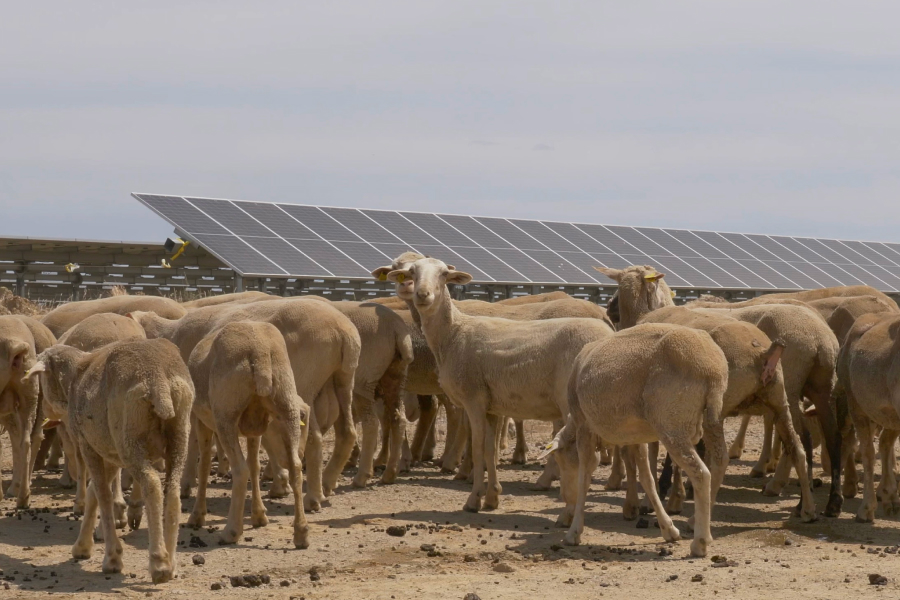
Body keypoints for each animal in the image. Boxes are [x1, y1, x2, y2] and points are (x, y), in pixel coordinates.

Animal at [25, 340, 192, 584]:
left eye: (43, 380)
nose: (45, 410)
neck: (75, 378)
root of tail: (158, 378)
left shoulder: (88, 444)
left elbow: (103, 494)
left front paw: (112, 558)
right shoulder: (110, 452)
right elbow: (94, 490)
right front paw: (82, 546)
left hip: (129, 441)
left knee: (152, 485)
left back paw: (159, 563)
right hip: (178, 435)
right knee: (172, 490)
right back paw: (171, 562)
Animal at [185, 324, 310, 548]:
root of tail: (259, 352)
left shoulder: (201, 421)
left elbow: (204, 465)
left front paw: (197, 516)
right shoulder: (256, 428)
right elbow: (255, 466)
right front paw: (259, 516)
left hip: (225, 416)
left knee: (240, 470)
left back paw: (231, 532)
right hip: (287, 404)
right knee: (295, 466)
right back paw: (301, 533)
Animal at [384, 256, 616, 510]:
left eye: (444, 274)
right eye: (412, 273)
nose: (422, 294)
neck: (453, 332)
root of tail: (608, 331)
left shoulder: (473, 400)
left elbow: (477, 448)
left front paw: (473, 500)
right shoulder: (491, 406)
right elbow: (489, 449)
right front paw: (492, 497)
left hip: (574, 405)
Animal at [540, 324, 732, 556]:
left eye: (560, 461)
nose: (564, 497)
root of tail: (712, 370)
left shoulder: (584, 425)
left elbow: (584, 477)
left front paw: (574, 532)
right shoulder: (636, 437)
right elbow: (646, 478)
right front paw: (668, 529)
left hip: (672, 425)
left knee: (701, 474)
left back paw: (700, 542)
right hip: (711, 419)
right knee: (720, 461)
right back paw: (702, 530)